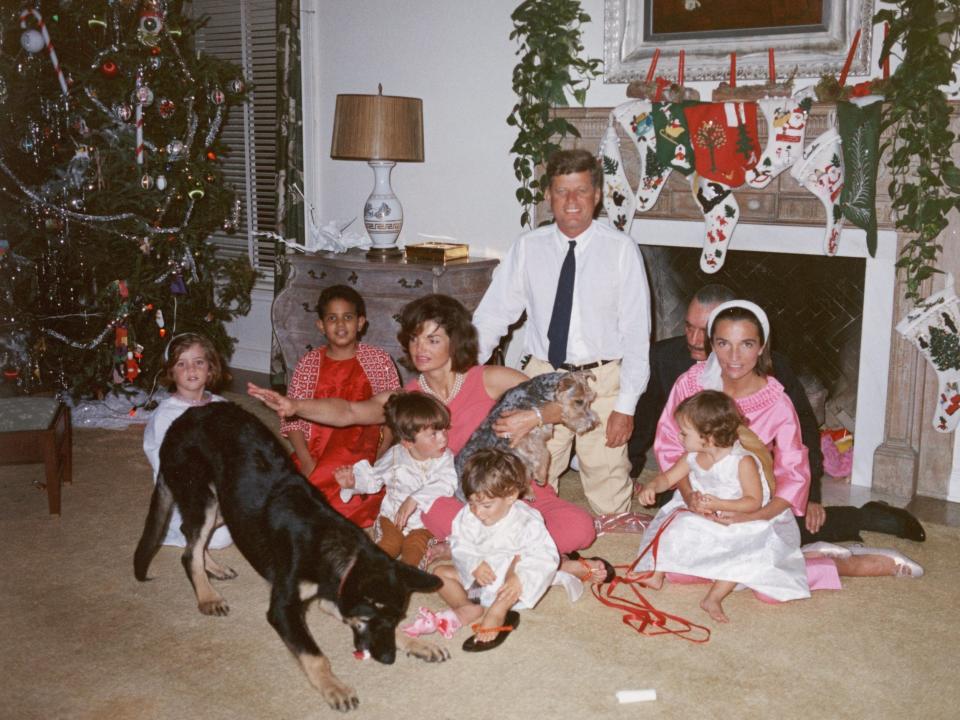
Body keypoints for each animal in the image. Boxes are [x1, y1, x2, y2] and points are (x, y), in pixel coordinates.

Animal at [133, 402, 448, 712]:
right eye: (370, 619)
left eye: (396, 619)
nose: (388, 659)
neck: (338, 549)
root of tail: (181, 419)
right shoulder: (283, 609)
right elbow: (315, 656)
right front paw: (334, 688)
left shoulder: (332, 597)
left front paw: (418, 644)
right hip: (204, 498)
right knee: (190, 552)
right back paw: (208, 596)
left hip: (228, 506)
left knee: (190, 535)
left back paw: (215, 569)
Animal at [458, 372, 600, 496]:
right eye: (579, 401)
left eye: (590, 400)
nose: (592, 423)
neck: (538, 394)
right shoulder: (526, 438)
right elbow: (545, 455)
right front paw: (541, 476)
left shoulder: (537, 437)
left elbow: (543, 455)